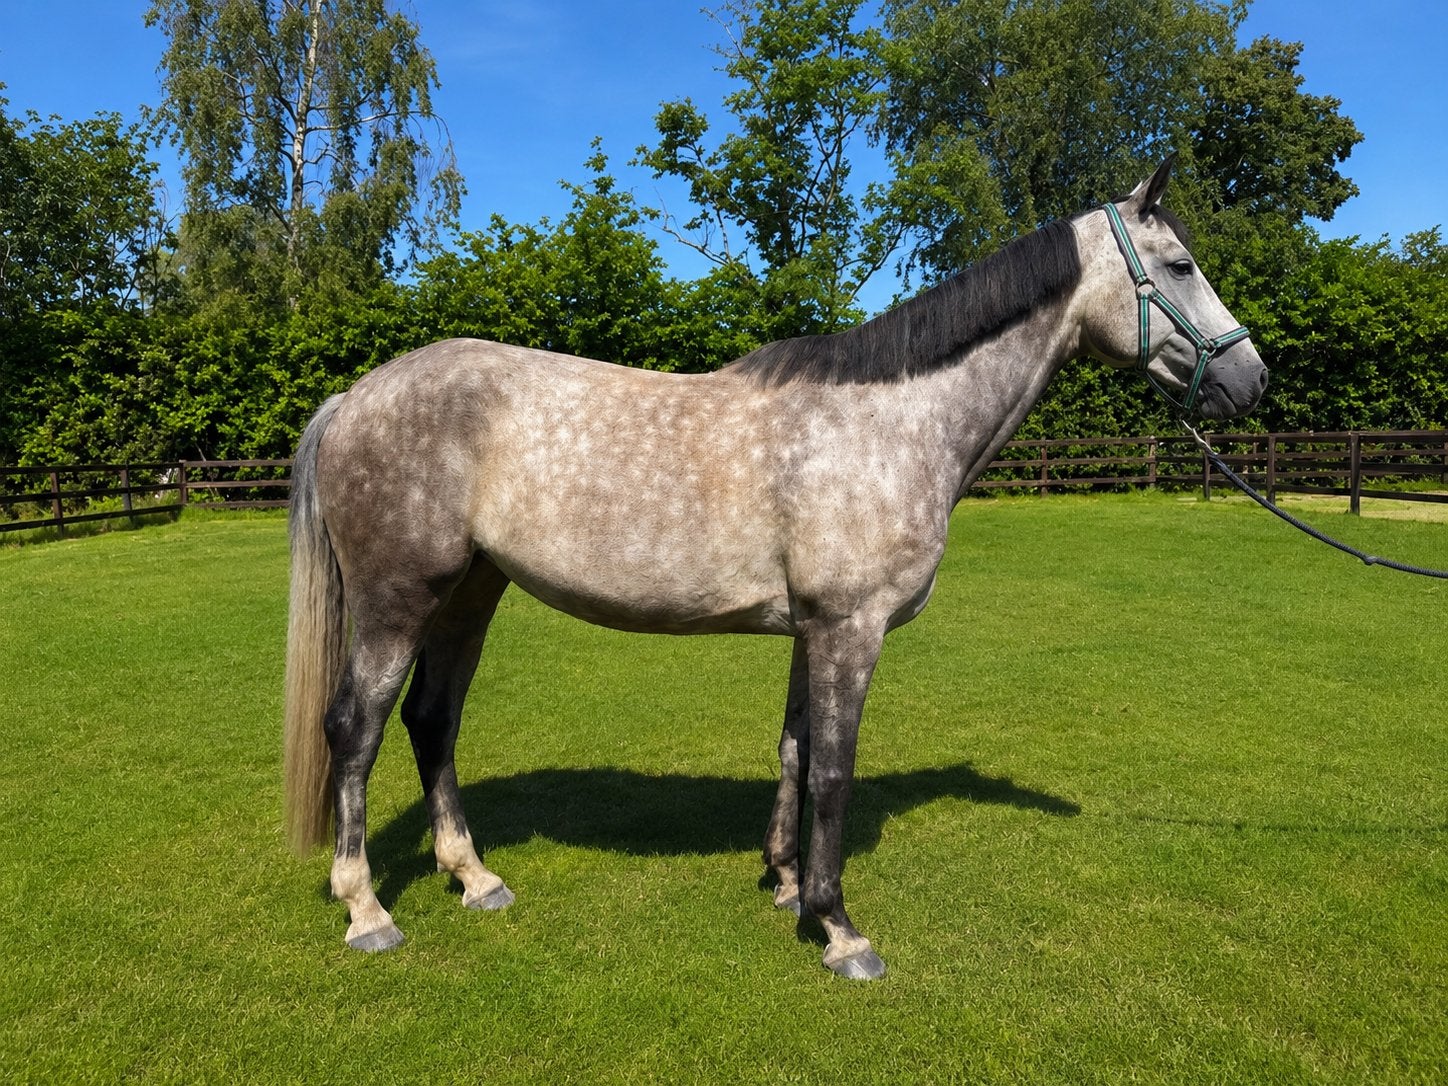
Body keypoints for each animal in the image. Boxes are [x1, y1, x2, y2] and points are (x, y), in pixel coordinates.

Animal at [283, 160, 1267, 979]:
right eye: (1179, 265)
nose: (1252, 381)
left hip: (470, 593)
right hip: (398, 600)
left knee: (432, 720)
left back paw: (475, 878)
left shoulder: (812, 630)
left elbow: (794, 750)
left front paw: (788, 883)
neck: (893, 424)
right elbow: (834, 768)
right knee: (357, 729)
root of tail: (353, 397)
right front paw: (839, 929)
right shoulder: (851, 629)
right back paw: (366, 909)